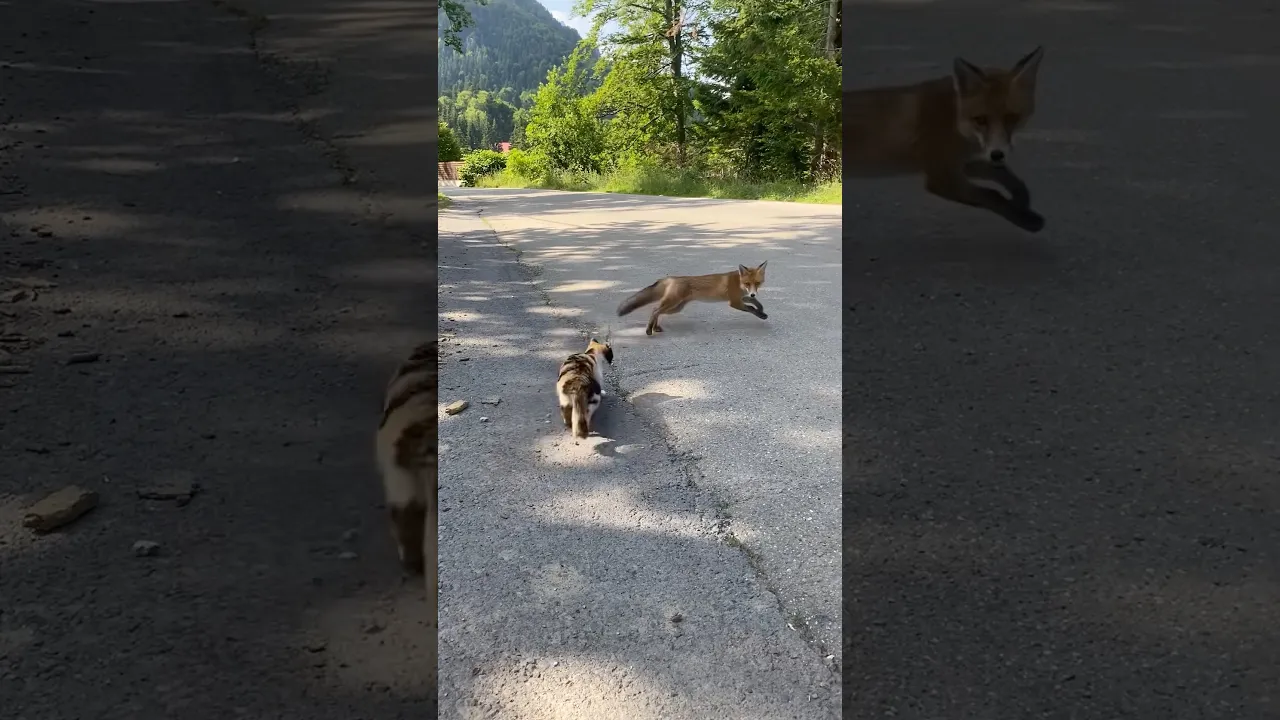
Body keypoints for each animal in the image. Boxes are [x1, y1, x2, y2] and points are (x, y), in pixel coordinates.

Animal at [616, 262, 769, 336]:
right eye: (747, 283)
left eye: (757, 283)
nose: (753, 293)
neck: (738, 282)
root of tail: (671, 278)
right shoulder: (734, 302)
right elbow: (751, 308)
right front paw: (761, 315)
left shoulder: (742, 297)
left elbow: (755, 303)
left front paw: (761, 310)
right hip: (673, 302)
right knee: (655, 309)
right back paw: (649, 329)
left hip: (676, 308)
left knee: (657, 311)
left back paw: (655, 327)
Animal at [845, 46, 1046, 233]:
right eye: (980, 120)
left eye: (1011, 118)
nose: (997, 154)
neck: (955, 120)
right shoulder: (942, 177)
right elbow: (992, 194)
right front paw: (1026, 219)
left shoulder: (962, 163)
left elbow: (1010, 178)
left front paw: (1021, 202)